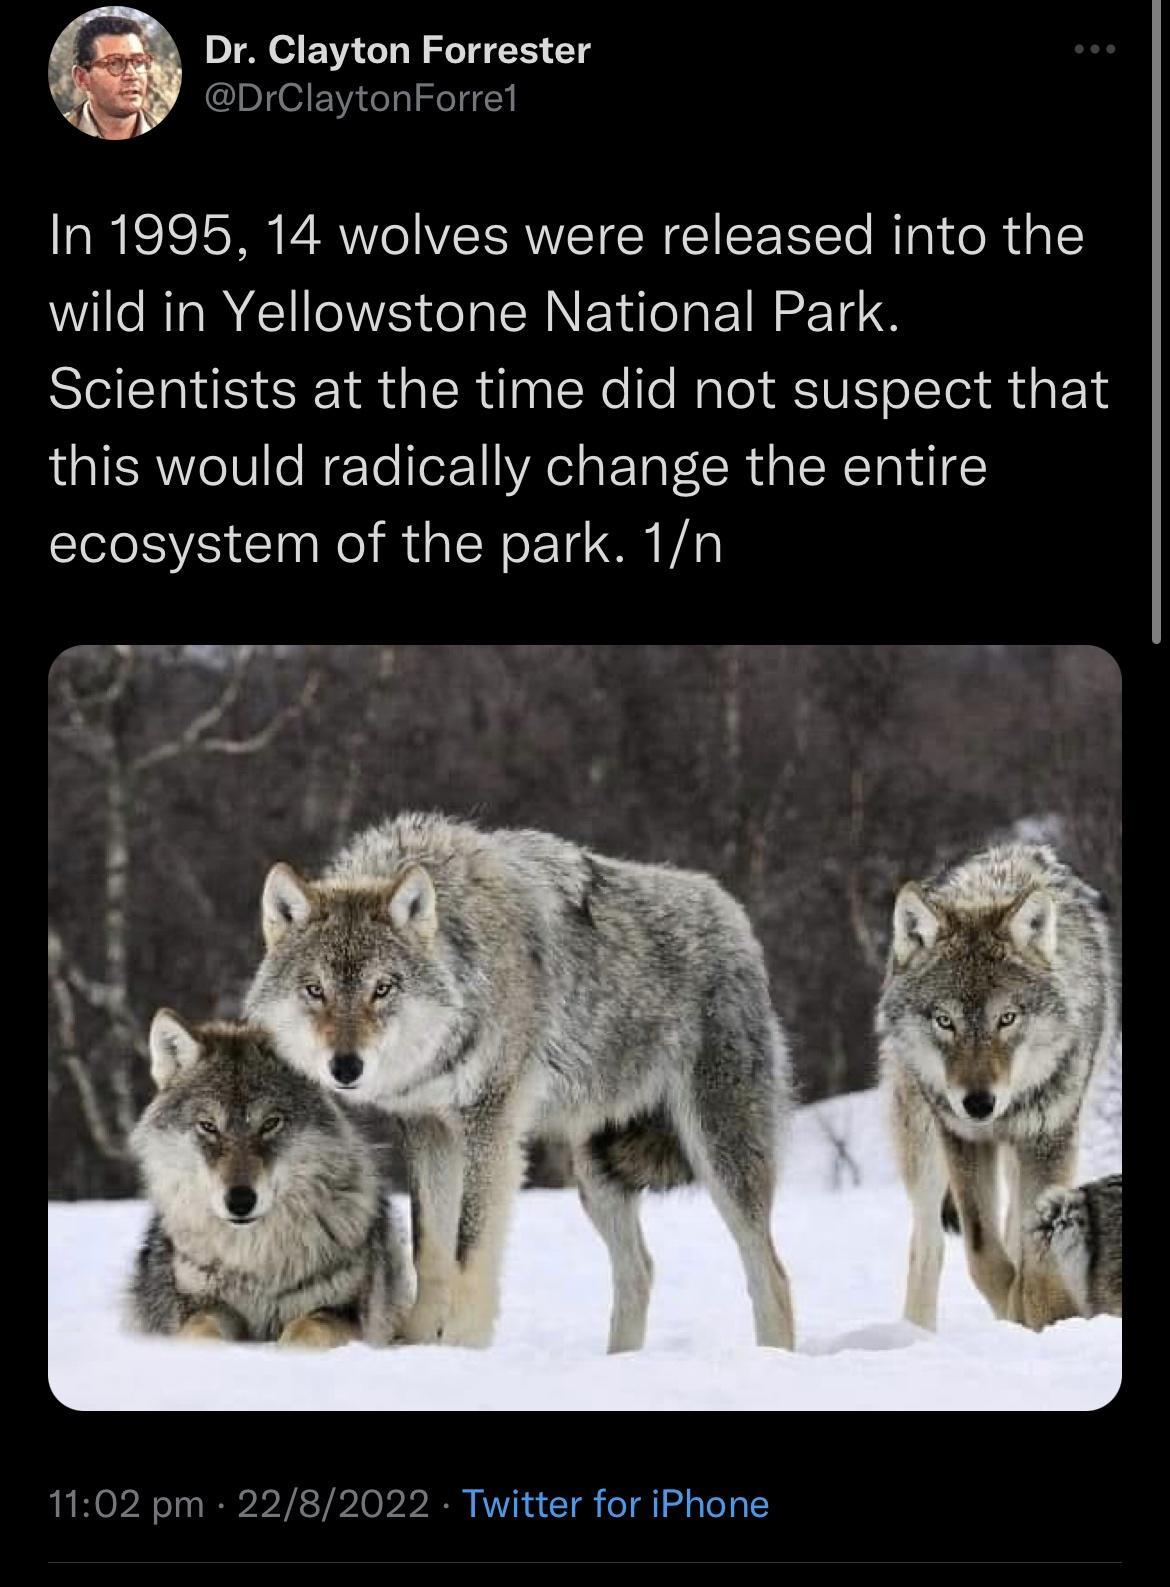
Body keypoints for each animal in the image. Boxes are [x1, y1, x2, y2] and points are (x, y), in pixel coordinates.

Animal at [128, 1011, 411, 1346]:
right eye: (208, 1126)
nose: (240, 1201)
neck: (255, 1261)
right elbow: (201, 1330)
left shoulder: (343, 1312)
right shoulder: (202, 1305)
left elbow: (307, 1329)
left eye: (270, 1123)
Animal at [244, 812, 795, 1352]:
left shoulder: (490, 1123)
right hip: (596, 1174)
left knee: (771, 1273)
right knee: (639, 1270)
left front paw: (463, 1346)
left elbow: (469, 1248)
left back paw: (772, 1355)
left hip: (719, 1154)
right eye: (315, 990)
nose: (345, 1067)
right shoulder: (427, 1127)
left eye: (383, 989)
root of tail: (732, 913)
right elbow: (430, 1248)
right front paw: (418, 1342)